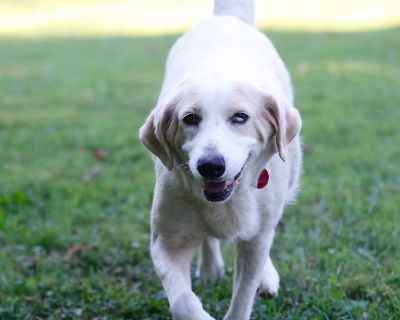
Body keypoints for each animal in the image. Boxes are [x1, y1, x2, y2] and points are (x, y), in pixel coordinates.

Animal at [139, 1, 302, 318]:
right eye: (190, 118)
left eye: (240, 117)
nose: (211, 166)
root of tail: (226, 18)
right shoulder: (166, 242)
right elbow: (183, 301)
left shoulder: (255, 242)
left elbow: (244, 294)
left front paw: (259, 281)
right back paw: (210, 265)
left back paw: (267, 275)